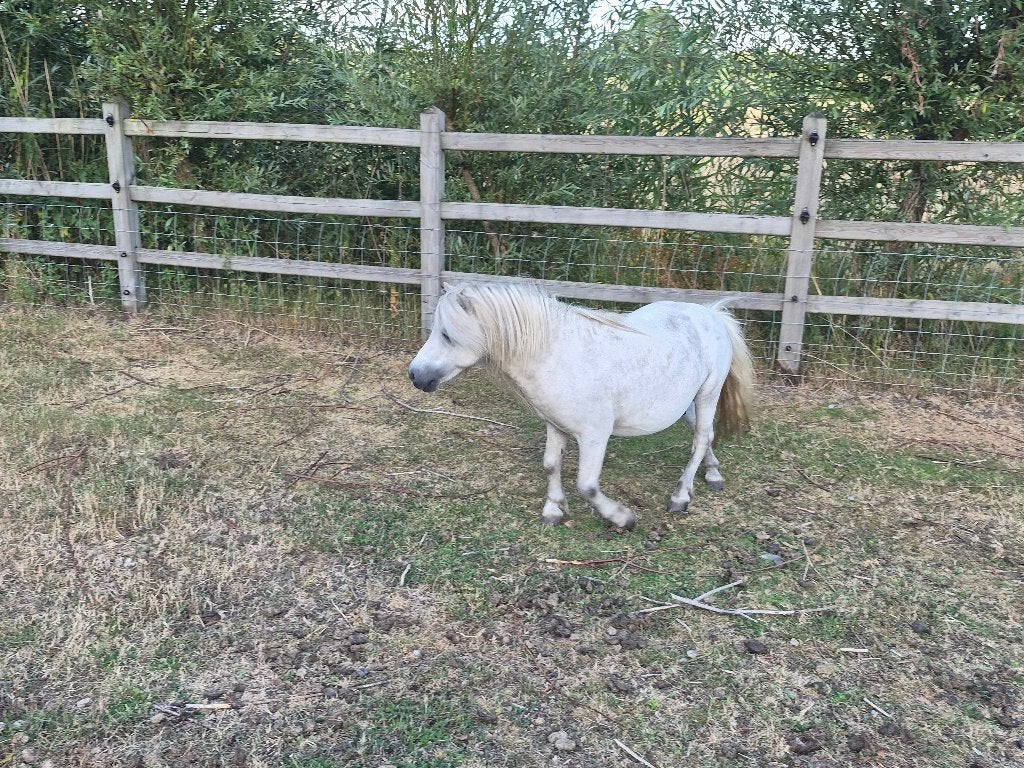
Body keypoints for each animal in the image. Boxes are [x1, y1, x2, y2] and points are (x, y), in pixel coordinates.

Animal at [408, 281, 755, 530]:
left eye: (447, 335)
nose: (415, 375)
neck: (558, 354)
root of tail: (711, 314)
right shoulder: (554, 424)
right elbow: (551, 465)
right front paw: (553, 509)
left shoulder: (595, 435)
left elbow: (586, 485)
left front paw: (622, 517)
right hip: (689, 403)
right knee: (706, 436)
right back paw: (713, 475)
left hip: (708, 394)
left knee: (700, 440)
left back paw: (680, 497)